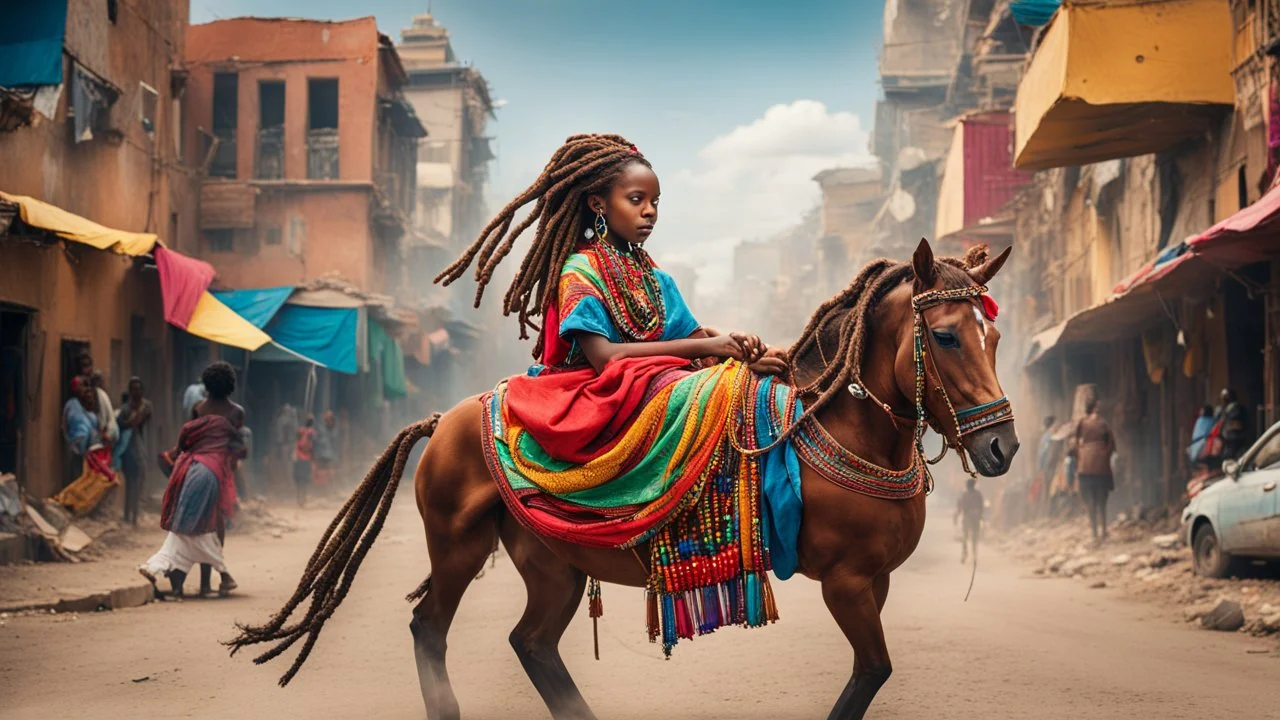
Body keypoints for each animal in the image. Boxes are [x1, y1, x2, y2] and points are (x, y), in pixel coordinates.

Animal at [230, 238, 1018, 712]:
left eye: (995, 336)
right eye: (945, 336)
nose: (1003, 446)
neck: (841, 427)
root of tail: (442, 420)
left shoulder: (874, 580)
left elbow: (870, 673)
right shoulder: (849, 581)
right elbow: (872, 673)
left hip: (552, 563)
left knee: (532, 643)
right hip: (456, 544)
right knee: (431, 626)